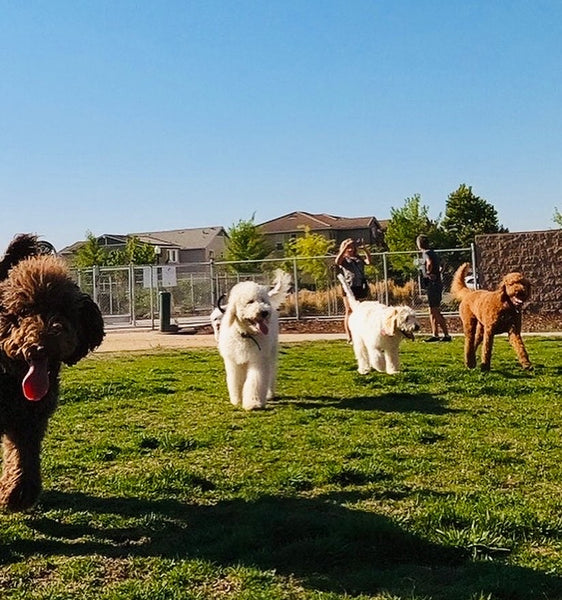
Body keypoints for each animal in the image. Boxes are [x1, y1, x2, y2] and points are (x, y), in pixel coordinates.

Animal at [0, 234, 104, 510]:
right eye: (23, 312)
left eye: (62, 313)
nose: (41, 346)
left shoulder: (29, 421)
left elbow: (23, 455)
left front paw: (18, 493)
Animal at [218, 270, 290, 408]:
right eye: (250, 301)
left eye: (262, 300)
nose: (264, 312)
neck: (246, 335)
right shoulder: (234, 362)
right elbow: (236, 380)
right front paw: (237, 399)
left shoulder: (258, 360)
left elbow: (255, 381)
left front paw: (253, 402)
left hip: (271, 353)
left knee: (271, 373)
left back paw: (269, 394)